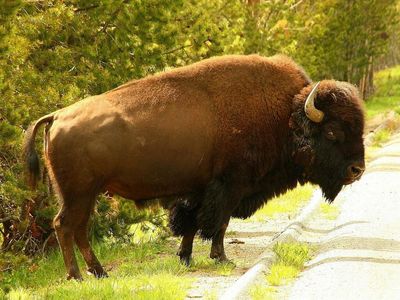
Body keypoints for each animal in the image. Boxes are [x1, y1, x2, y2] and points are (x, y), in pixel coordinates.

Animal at [23, 53, 364, 278]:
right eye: (332, 132)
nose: (357, 170)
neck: (286, 116)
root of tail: (57, 115)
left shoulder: (198, 189)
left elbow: (190, 222)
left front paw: (185, 257)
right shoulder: (230, 186)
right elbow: (218, 223)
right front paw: (221, 258)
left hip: (86, 194)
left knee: (78, 229)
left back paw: (98, 272)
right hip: (79, 193)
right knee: (65, 226)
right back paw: (78, 276)